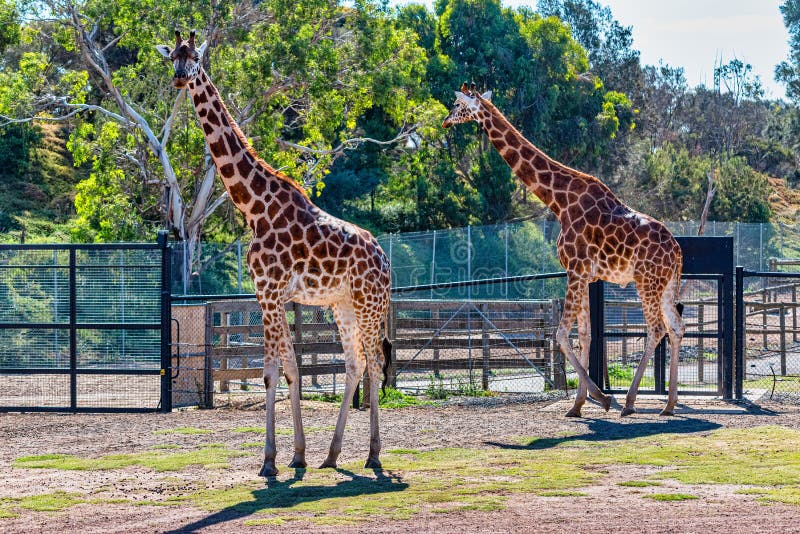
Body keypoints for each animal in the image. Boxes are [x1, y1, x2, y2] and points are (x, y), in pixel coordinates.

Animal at [157, 31, 392, 475]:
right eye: (172, 56)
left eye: (195, 57)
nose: (179, 78)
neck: (254, 208)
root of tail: (386, 260)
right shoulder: (268, 294)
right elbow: (286, 369)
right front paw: (294, 455)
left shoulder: (270, 291)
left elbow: (275, 371)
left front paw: (273, 460)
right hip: (342, 304)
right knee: (356, 362)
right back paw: (332, 455)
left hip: (369, 303)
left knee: (374, 361)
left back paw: (373, 455)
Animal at [443, 83, 685, 417]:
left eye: (456, 104)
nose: (444, 121)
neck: (558, 201)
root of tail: (677, 251)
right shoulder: (585, 275)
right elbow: (584, 334)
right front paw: (578, 404)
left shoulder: (575, 270)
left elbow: (560, 334)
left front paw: (601, 397)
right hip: (666, 284)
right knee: (676, 327)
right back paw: (669, 405)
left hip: (646, 281)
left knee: (657, 329)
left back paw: (630, 402)